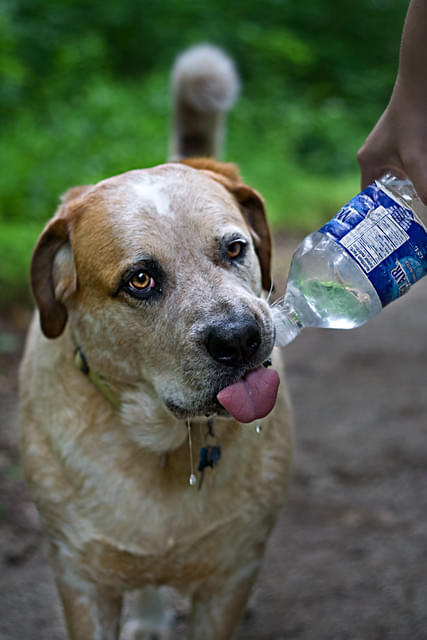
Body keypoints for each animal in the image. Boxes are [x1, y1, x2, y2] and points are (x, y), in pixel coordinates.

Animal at [20, 45, 294, 640]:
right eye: (140, 280)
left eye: (235, 248)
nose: (242, 339)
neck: (163, 445)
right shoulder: (81, 580)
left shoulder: (232, 575)